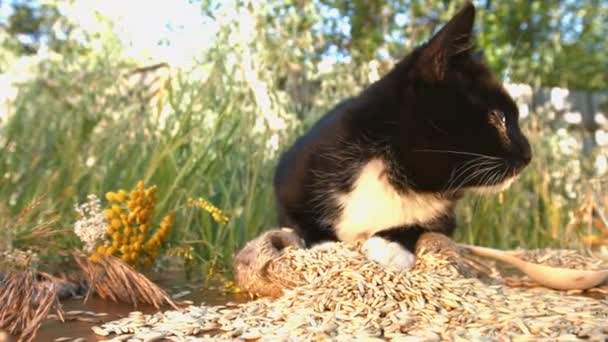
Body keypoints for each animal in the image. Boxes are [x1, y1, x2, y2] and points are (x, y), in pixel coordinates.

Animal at [274, 1, 528, 272]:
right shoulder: (291, 172)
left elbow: (424, 225)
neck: (398, 176)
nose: (528, 154)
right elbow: (297, 220)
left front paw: (390, 245)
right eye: (498, 117)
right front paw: (326, 247)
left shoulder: (446, 217)